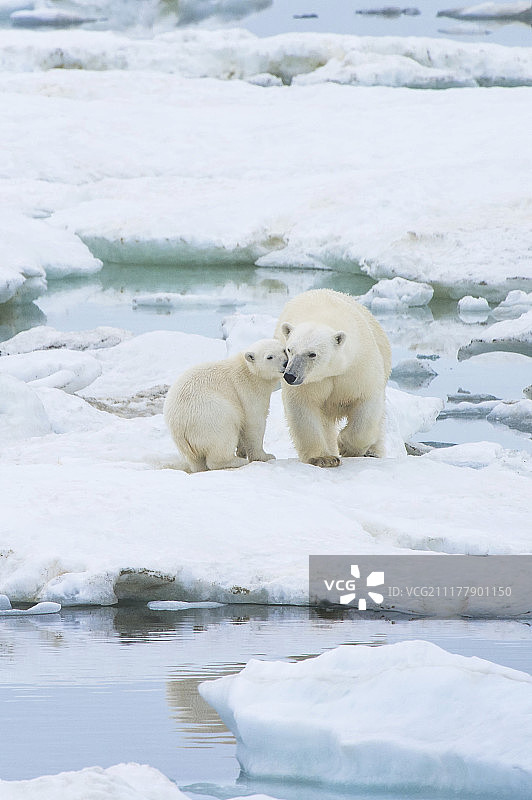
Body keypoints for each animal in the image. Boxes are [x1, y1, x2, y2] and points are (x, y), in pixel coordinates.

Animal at [163, 338, 287, 472]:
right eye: (269, 357)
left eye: (284, 350)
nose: (285, 363)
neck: (248, 370)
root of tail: (179, 426)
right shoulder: (248, 391)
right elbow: (254, 423)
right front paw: (265, 456)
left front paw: (242, 451)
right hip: (210, 417)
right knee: (224, 436)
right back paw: (236, 461)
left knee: (195, 460)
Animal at [275, 288, 391, 467]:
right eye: (289, 350)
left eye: (312, 354)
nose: (290, 375)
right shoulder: (310, 384)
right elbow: (303, 408)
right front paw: (324, 458)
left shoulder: (358, 366)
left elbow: (367, 403)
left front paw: (346, 446)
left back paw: (372, 452)